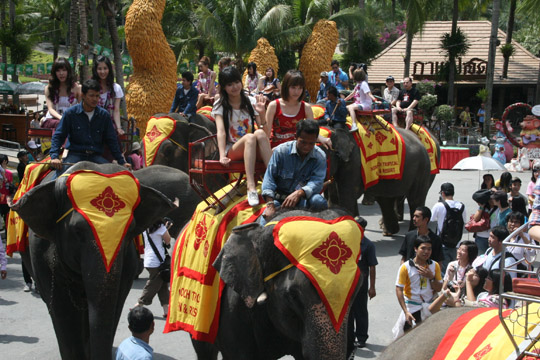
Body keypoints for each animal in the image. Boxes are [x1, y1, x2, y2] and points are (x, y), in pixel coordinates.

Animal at [10, 162, 175, 358]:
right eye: (77, 231)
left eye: (130, 231)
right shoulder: (42, 253)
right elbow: (61, 310)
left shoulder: (128, 260)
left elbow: (114, 305)